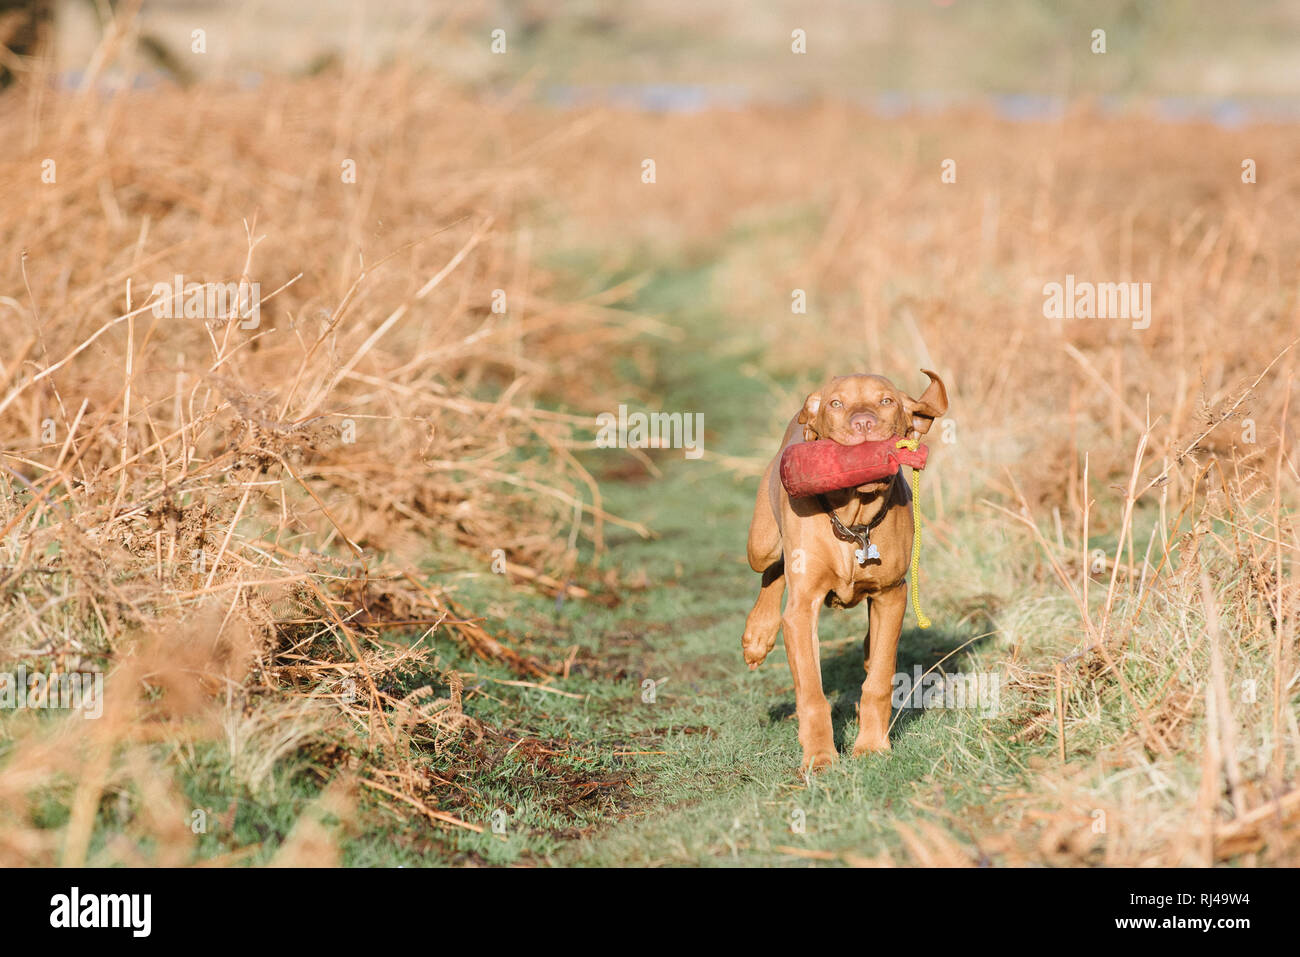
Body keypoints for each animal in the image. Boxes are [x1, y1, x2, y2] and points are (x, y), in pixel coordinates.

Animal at [743, 369, 946, 774]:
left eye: (886, 401)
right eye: (837, 403)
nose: (863, 423)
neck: (854, 522)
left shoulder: (892, 596)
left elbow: (879, 679)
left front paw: (871, 745)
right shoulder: (801, 610)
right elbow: (811, 691)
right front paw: (820, 757)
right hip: (761, 543)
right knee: (771, 568)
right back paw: (757, 634)